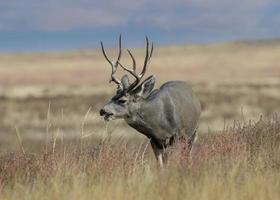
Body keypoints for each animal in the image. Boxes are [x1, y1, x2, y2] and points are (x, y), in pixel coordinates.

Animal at [99, 36, 200, 167]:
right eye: (112, 97)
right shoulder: (154, 139)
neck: (159, 122)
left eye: (122, 100)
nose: (102, 110)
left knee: (188, 152)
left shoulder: (176, 135)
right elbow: (161, 164)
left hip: (192, 132)